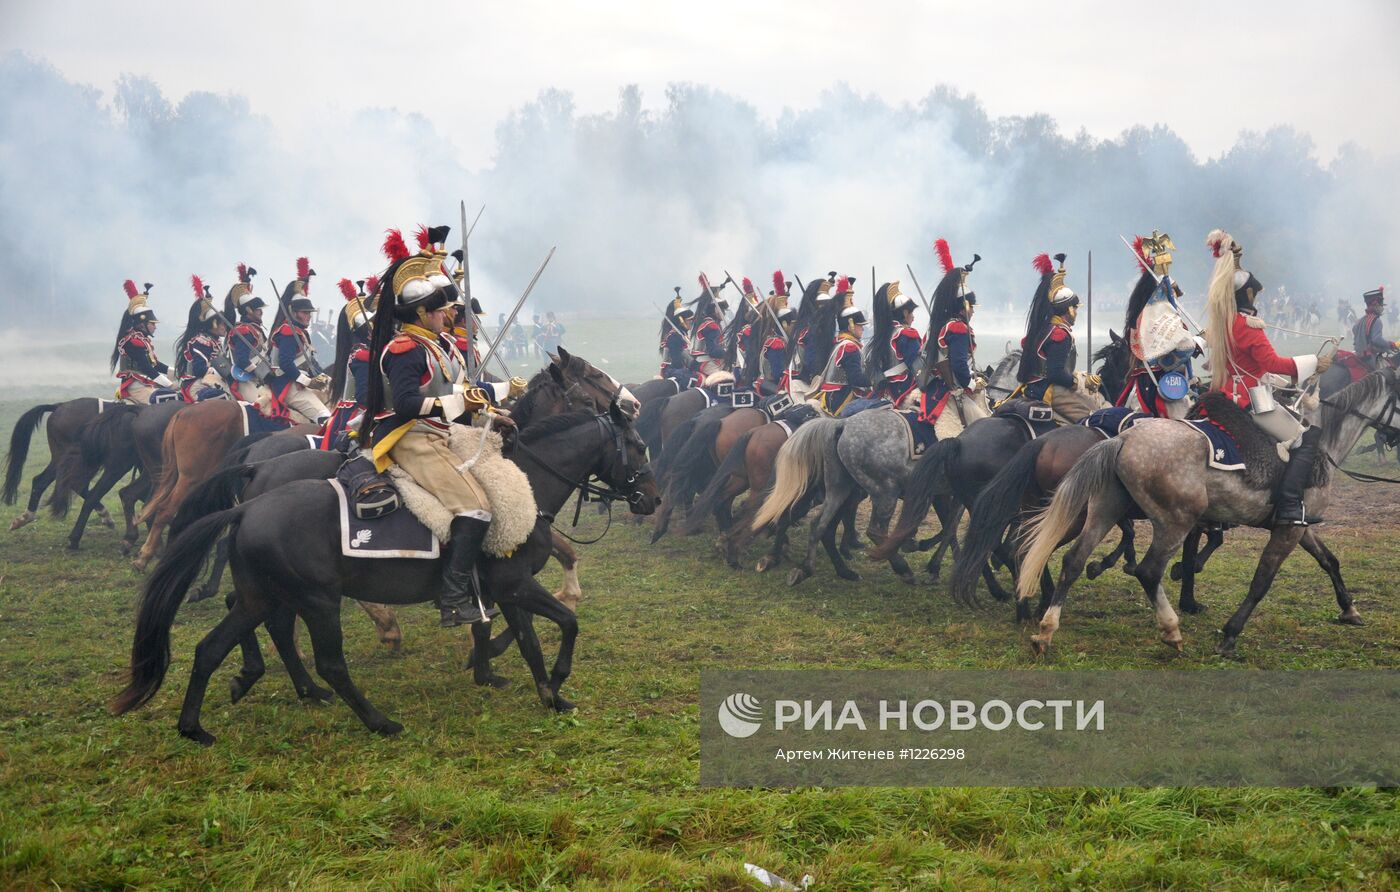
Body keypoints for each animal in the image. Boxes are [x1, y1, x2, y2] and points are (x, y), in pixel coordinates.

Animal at [112, 400, 658, 739]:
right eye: (638, 445)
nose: (651, 499)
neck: (524, 486)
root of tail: (249, 504)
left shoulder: (505, 589)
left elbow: (526, 641)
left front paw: (541, 691)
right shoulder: (514, 585)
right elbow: (565, 623)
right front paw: (556, 682)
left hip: (262, 596)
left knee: (215, 646)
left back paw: (203, 722)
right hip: (317, 600)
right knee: (329, 662)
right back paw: (377, 720)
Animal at [1019, 366, 1400, 655]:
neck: (1321, 446)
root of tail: (1122, 439)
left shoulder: (1299, 524)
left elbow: (1329, 561)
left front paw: (1350, 609)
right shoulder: (1288, 529)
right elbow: (1261, 581)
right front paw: (1230, 634)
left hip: (1104, 512)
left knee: (1073, 560)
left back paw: (1045, 631)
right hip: (1175, 522)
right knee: (1148, 571)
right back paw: (1171, 630)